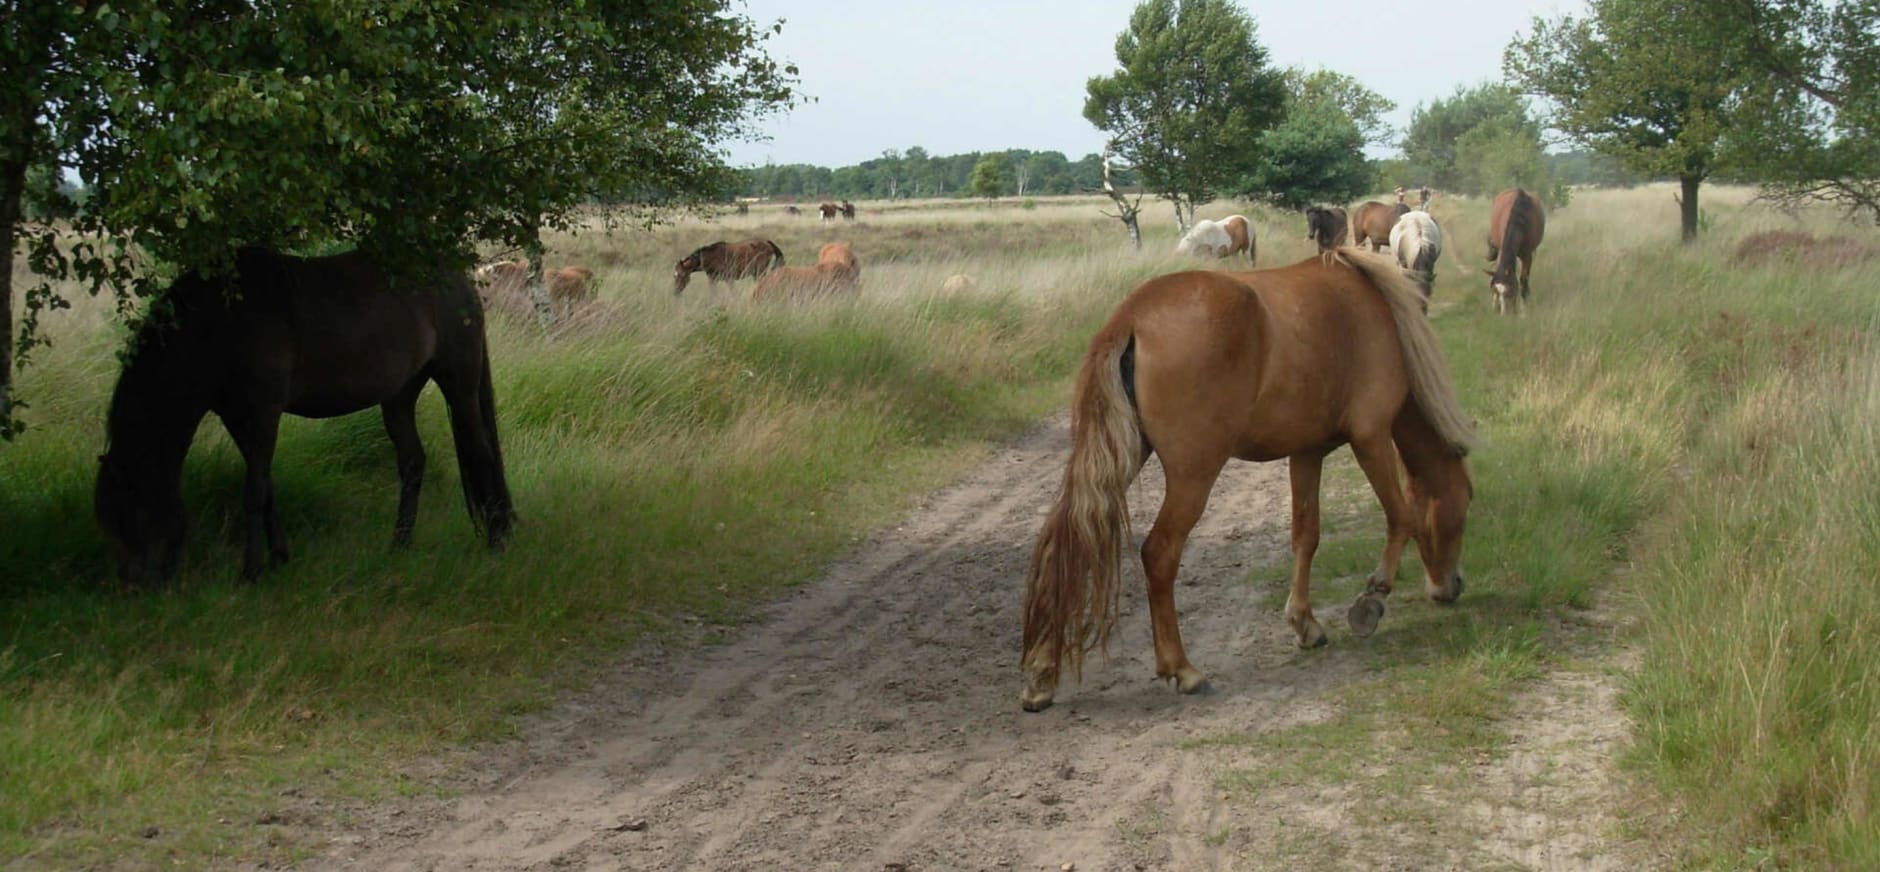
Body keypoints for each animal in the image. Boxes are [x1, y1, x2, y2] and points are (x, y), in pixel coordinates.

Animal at [95, 246, 515, 586]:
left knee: (480, 453)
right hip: (399, 395)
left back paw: (496, 541)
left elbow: (253, 489)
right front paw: (279, 557)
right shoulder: (236, 415)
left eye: (127, 513)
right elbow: (265, 485)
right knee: (412, 461)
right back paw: (399, 543)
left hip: (457, 383)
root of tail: (461, 279)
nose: (131, 584)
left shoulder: (263, 410)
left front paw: (251, 571)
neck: (220, 321)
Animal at [1022, 244, 1473, 706]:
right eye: (1464, 506)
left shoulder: (1307, 454)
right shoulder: (1371, 437)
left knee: (1065, 542)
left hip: (1118, 461)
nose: (1452, 587)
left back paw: (1042, 676)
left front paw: (1304, 623)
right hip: (1193, 476)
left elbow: (1306, 536)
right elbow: (1402, 518)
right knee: (1159, 554)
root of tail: (1131, 317)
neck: (1374, 310)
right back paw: (1182, 669)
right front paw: (1371, 601)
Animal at [1488, 186, 1549, 315]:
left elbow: (1523, 279)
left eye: (1511, 292)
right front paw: (1495, 304)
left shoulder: (1527, 255)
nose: (1504, 314)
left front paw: (1523, 309)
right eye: (1496, 291)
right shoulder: (1502, 250)